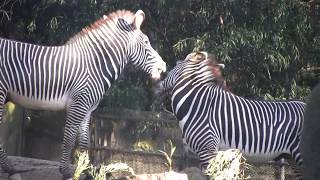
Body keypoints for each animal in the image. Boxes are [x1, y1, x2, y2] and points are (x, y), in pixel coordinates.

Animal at [0, 9, 168, 180]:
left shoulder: (87, 108)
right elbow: (69, 140)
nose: (164, 67)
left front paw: (88, 171)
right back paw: (9, 168)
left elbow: (84, 141)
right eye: (146, 42)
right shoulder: (78, 104)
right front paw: (66, 172)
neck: (94, 66)